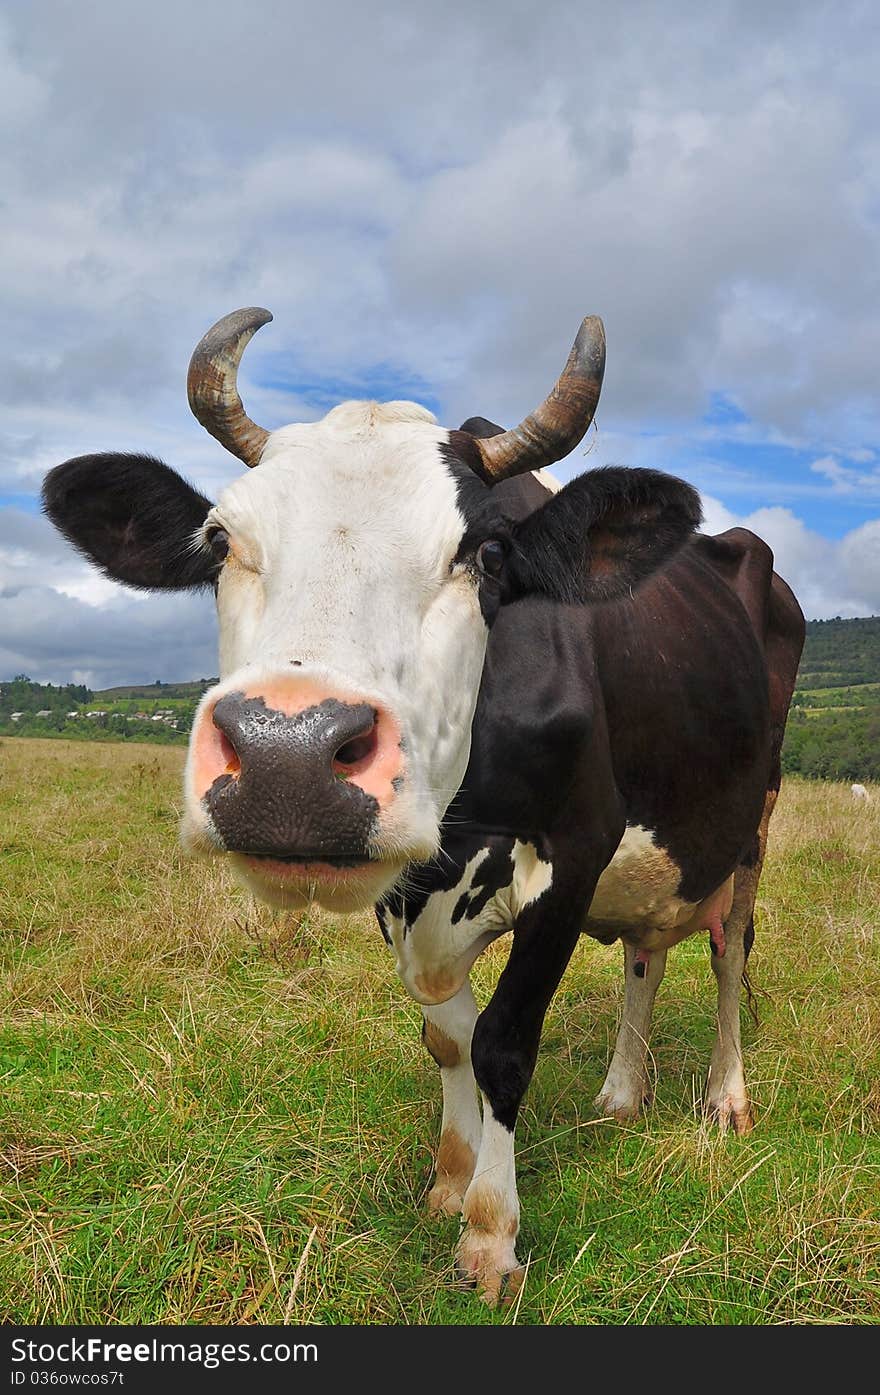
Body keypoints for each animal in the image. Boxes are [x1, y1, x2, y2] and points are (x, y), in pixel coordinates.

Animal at [44, 305, 808, 1294]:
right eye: (219, 540)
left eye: (484, 552)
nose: (288, 756)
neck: (457, 834)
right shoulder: (404, 882)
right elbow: (446, 1036)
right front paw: (452, 1176)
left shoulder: (578, 846)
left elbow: (502, 1043)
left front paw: (490, 1233)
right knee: (646, 954)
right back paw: (620, 1094)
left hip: (754, 819)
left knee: (727, 951)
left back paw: (724, 1096)